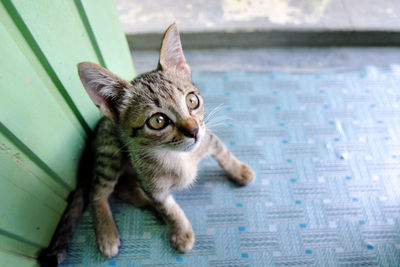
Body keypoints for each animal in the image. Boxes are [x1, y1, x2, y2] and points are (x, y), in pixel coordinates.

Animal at [39, 23, 255, 266]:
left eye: (192, 100)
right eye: (158, 121)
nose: (193, 131)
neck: (177, 156)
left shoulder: (207, 137)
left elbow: (223, 152)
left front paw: (239, 170)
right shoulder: (154, 185)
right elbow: (169, 208)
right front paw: (181, 231)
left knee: (123, 187)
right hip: (110, 154)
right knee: (98, 191)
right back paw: (107, 233)